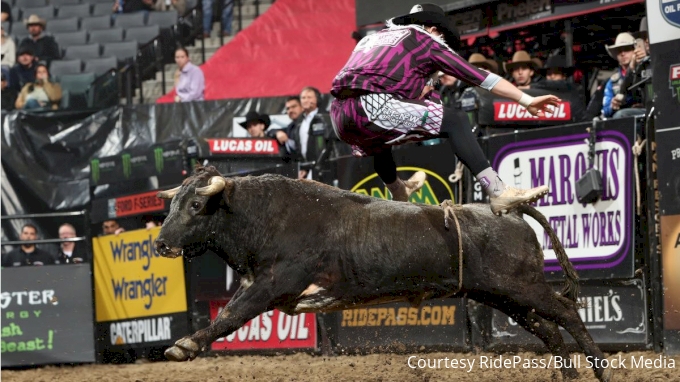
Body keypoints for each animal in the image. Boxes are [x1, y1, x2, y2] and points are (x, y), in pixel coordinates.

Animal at [154, 165, 612, 382]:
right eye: (172, 204)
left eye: (196, 206)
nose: (159, 243)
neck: (261, 215)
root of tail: (510, 213)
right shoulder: (259, 283)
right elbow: (230, 310)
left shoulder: (275, 283)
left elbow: (231, 316)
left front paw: (184, 346)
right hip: (501, 295)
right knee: (549, 329)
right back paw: (570, 375)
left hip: (523, 287)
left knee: (566, 313)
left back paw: (601, 369)